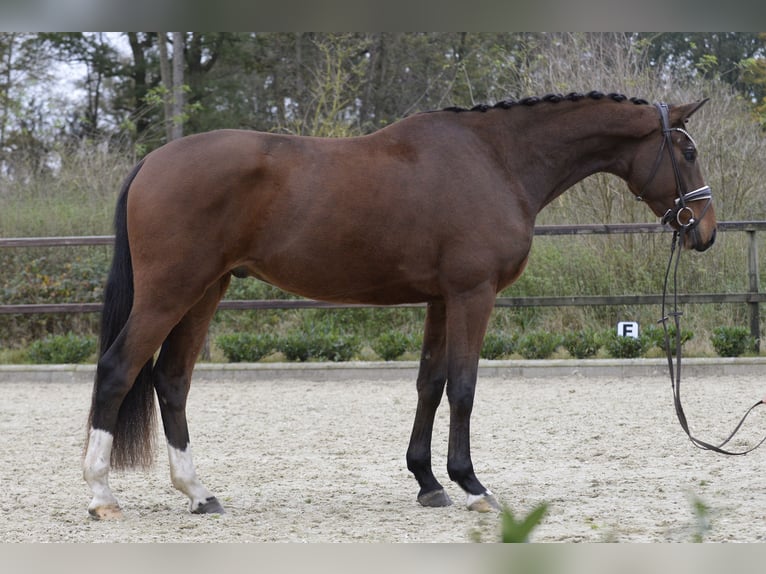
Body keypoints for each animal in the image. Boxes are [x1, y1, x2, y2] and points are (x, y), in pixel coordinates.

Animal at [85, 91, 720, 520]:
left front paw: (428, 482)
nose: (706, 231)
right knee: (118, 369)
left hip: (205, 291)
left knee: (171, 379)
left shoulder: (441, 300)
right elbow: (463, 387)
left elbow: (429, 385)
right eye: (686, 151)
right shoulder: (472, 295)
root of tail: (151, 162)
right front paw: (472, 485)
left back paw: (199, 493)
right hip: (172, 292)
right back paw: (101, 494)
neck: (496, 159)